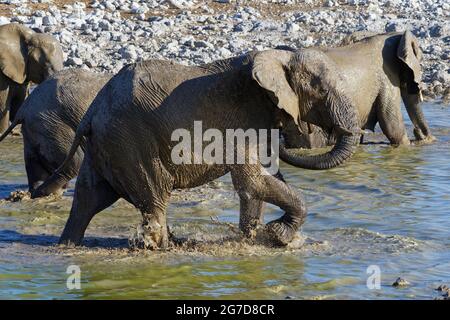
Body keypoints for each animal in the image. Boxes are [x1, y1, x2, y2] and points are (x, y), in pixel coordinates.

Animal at [33, 49, 360, 250]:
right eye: (321, 90)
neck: (280, 56)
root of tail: (92, 109)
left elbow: (259, 182)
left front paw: (255, 239)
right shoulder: (245, 117)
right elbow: (251, 180)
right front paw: (278, 235)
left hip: (105, 143)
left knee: (89, 199)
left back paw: (68, 245)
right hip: (130, 140)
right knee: (154, 196)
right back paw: (164, 248)